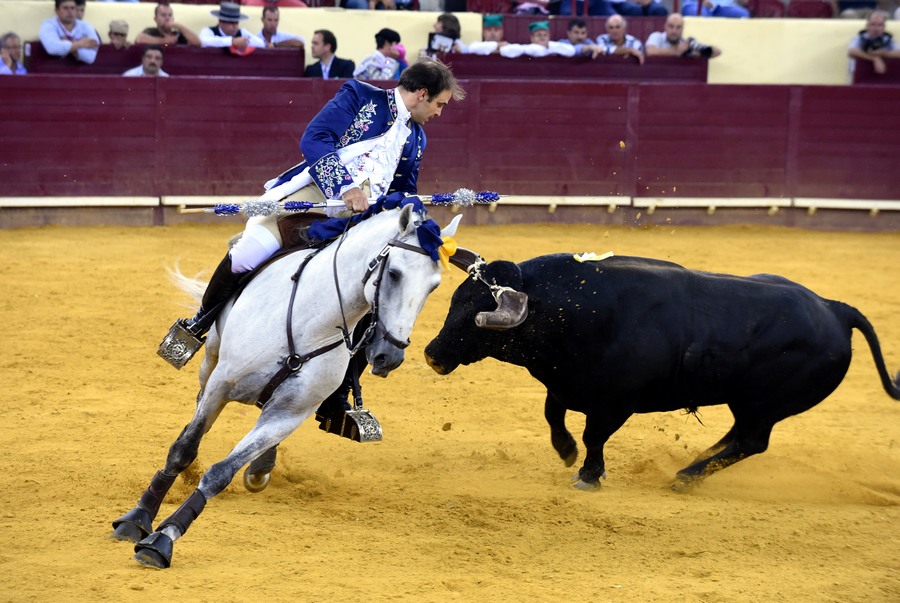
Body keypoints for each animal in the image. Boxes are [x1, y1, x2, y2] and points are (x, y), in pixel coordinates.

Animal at [111, 205, 460, 568]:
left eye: (434, 286)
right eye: (393, 273)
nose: (390, 356)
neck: (313, 322)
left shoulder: (289, 414)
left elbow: (222, 472)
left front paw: (163, 539)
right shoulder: (221, 385)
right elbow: (183, 449)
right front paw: (137, 519)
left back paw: (260, 468)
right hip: (211, 360)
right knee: (196, 410)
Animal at [424, 255, 900, 490]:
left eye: (475, 312)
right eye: (455, 300)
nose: (431, 354)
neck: (571, 309)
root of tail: (835, 309)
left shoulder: (615, 404)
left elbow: (594, 436)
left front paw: (588, 475)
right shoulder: (563, 385)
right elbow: (553, 417)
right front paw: (566, 453)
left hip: (763, 405)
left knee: (752, 442)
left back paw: (686, 477)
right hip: (744, 402)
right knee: (737, 437)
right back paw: (697, 463)